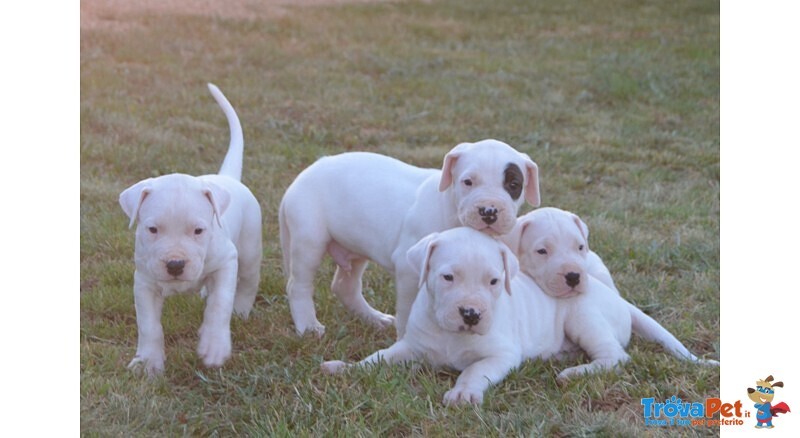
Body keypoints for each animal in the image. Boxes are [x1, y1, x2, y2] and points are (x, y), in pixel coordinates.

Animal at [119, 84, 262, 376]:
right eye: (152, 229)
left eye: (198, 231)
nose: (175, 265)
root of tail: (228, 179)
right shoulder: (144, 281)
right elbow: (149, 325)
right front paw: (148, 362)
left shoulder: (227, 262)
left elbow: (220, 305)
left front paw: (214, 346)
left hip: (250, 249)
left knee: (246, 283)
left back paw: (241, 310)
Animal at [278, 139, 540, 338]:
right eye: (468, 182)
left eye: (513, 184)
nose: (488, 211)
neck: (449, 206)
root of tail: (301, 176)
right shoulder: (408, 271)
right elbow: (407, 309)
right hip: (309, 240)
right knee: (298, 285)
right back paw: (308, 327)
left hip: (355, 248)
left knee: (345, 286)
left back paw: (374, 319)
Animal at [318, 228, 568, 406]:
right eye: (448, 277)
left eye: (494, 281)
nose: (471, 314)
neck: (449, 334)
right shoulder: (411, 347)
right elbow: (378, 357)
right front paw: (348, 368)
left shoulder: (502, 355)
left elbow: (475, 369)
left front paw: (463, 393)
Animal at [500, 206, 720, 380]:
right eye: (542, 251)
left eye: (580, 247)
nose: (573, 276)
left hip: (587, 317)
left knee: (615, 356)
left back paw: (573, 373)